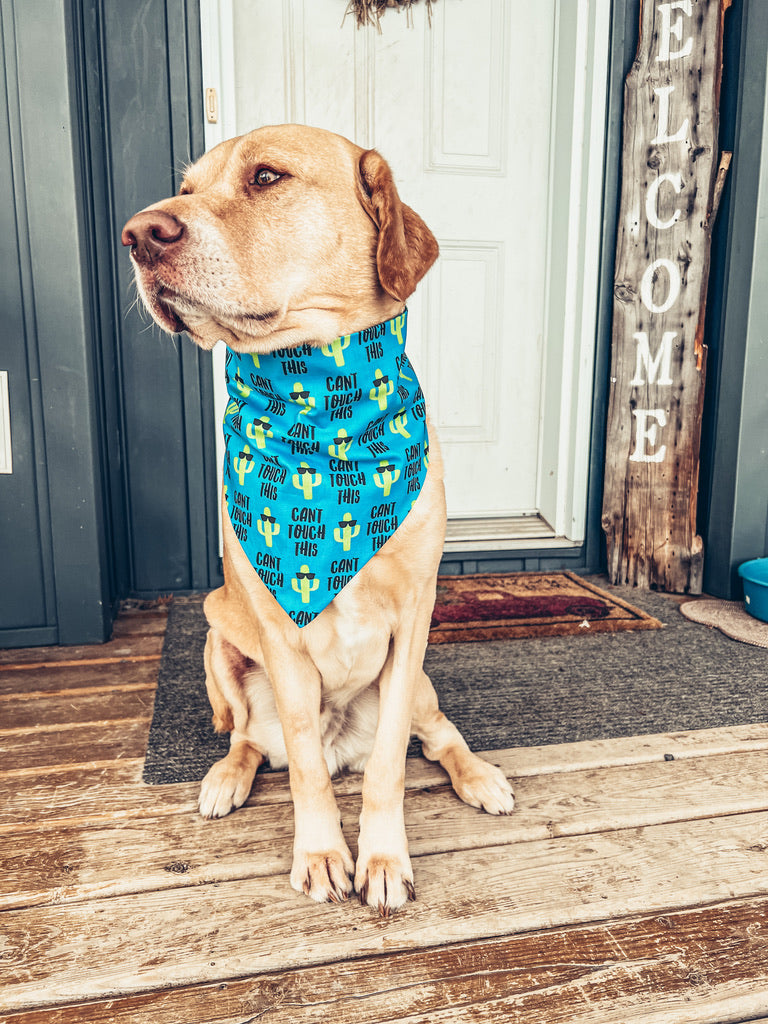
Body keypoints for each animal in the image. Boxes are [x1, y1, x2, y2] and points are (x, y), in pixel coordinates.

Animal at [123, 123, 514, 917]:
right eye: (186, 188)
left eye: (267, 177)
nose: (139, 235)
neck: (320, 404)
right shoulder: (275, 633)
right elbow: (301, 767)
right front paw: (322, 854)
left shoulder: (414, 617)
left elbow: (392, 763)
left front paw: (384, 859)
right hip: (217, 639)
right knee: (248, 737)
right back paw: (226, 777)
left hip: (420, 684)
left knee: (440, 735)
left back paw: (479, 775)